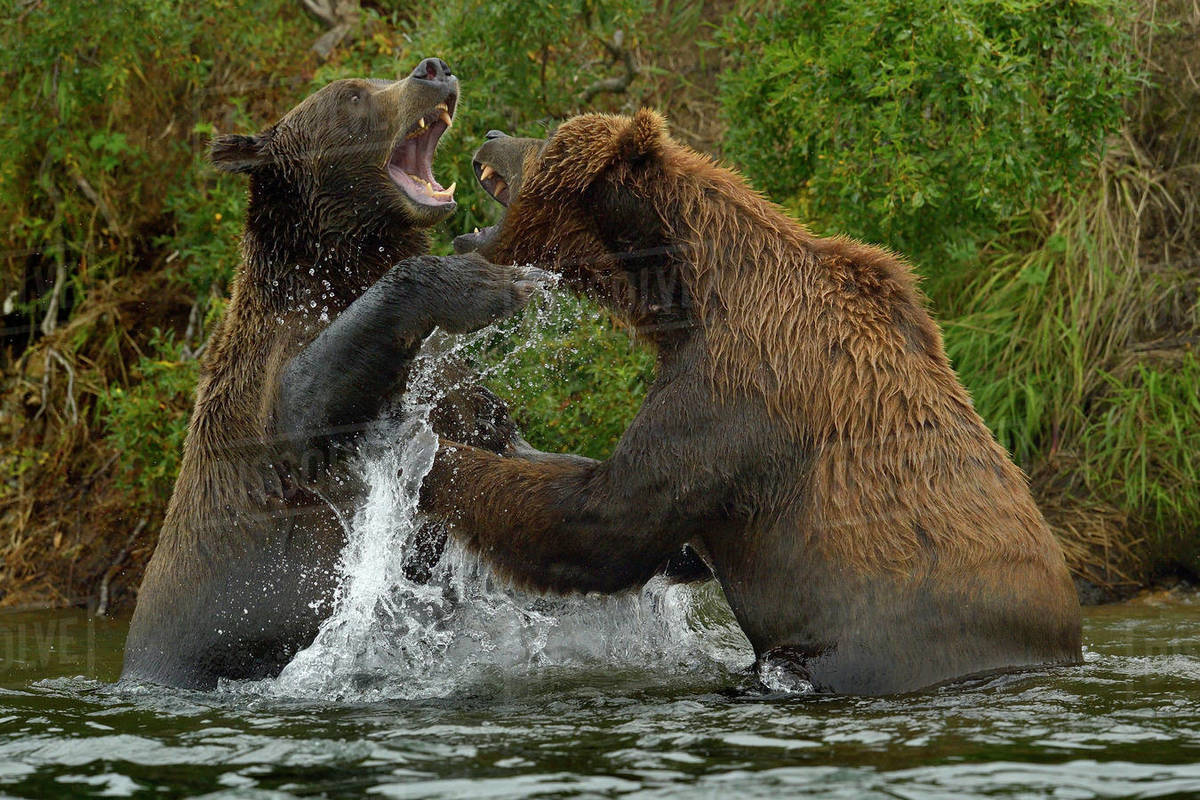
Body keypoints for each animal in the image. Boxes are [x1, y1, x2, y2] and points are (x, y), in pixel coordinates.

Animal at [120, 58, 541, 690]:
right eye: (351, 96)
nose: (433, 69)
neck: (339, 265)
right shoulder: (272, 377)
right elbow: (307, 408)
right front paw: (487, 282)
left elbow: (486, 419)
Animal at [426, 110, 1084, 696]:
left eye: (547, 134)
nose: (491, 132)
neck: (690, 295)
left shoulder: (735, 396)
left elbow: (607, 518)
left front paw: (436, 462)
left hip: (878, 642)